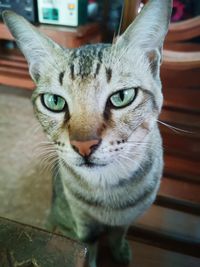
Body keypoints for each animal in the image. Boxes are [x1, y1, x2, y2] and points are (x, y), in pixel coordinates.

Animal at [2, 0, 172, 266]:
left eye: (122, 97)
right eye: (54, 102)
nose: (83, 146)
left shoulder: (124, 221)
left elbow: (118, 235)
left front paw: (120, 252)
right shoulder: (83, 224)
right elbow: (88, 250)